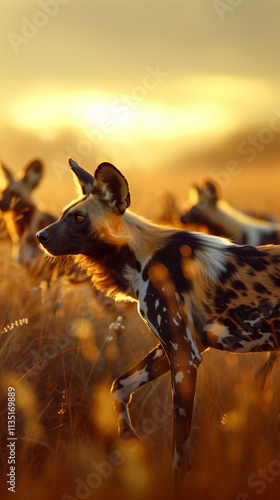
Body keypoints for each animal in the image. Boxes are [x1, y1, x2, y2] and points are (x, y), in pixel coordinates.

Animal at [36, 159, 280, 488]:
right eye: (65, 214)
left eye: (78, 218)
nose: (40, 236)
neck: (140, 258)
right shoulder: (176, 349)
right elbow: (118, 387)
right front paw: (129, 439)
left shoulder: (185, 357)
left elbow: (179, 458)